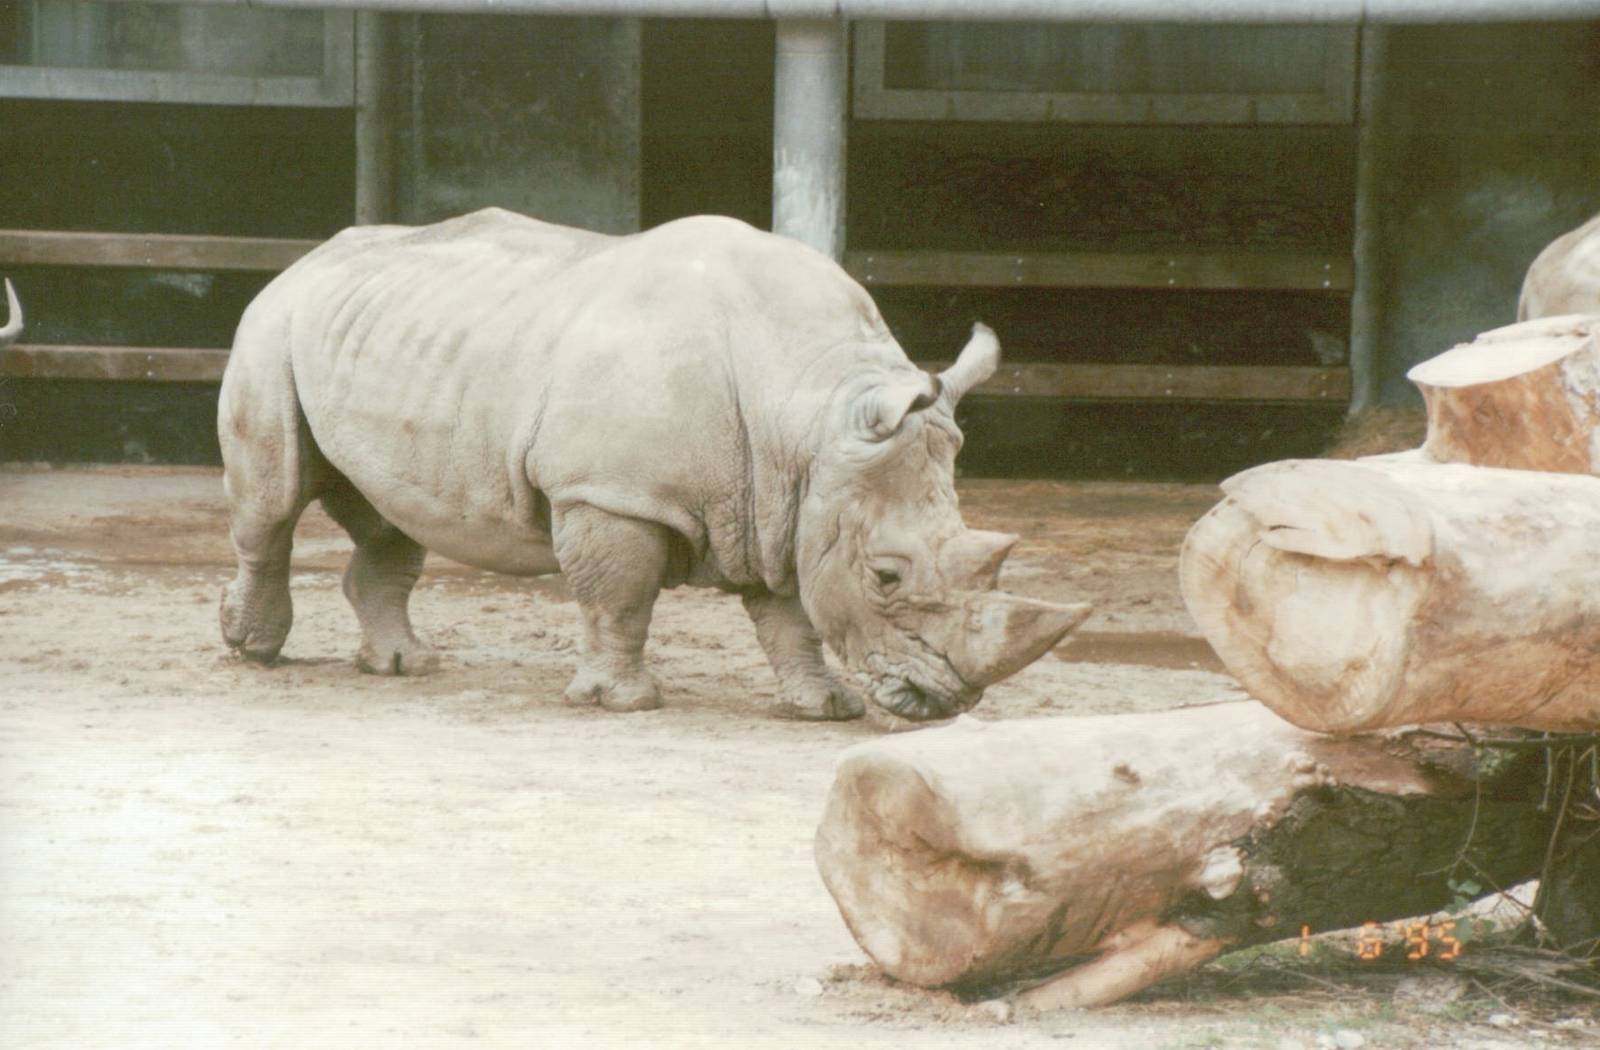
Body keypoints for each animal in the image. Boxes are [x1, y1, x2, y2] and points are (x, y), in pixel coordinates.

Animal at [218, 209, 1090, 721]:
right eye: (886, 577)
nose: (942, 702)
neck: (809, 406)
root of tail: (310, 254)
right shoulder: (610, 494)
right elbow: (620, 597)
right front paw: (622, 702)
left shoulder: (784, 500)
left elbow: (793, 611)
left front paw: (824, 707)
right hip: (270, 324)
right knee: (273, 500)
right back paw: (253, 651)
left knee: (391, 516)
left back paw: (402, 667)